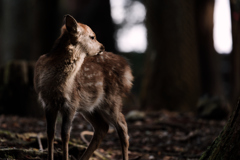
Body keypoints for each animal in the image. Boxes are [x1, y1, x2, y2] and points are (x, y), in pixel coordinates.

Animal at [33, 14, 133, 160]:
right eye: (92, 36)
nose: (102, 47)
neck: (56, 85)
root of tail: (127, 71)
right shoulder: (47, 103)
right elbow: (50, 132)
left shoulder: (71, 103)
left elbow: (65, 134)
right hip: (90, 106)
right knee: (103, 127)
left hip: (112, 99)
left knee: (122, 125)